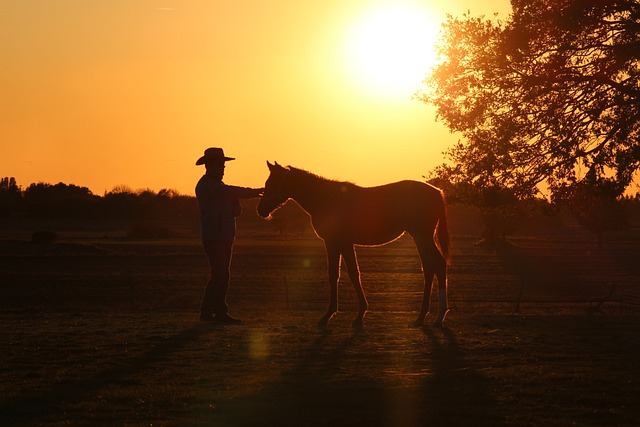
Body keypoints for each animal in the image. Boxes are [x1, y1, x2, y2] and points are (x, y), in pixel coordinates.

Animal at [255, 162, 450, 330]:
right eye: (267, 182)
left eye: (274, 182)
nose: (261, 210)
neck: (325, 198)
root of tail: (437, 193)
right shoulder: (340, 244)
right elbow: (341, 275)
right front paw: (348, 314)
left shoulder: (337, 243)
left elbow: (347, 274)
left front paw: (340, 315)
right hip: (420, 237)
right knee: (429, 268)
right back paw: (423, 316)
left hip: (422, 236)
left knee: (438, 265)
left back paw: (438, 317)